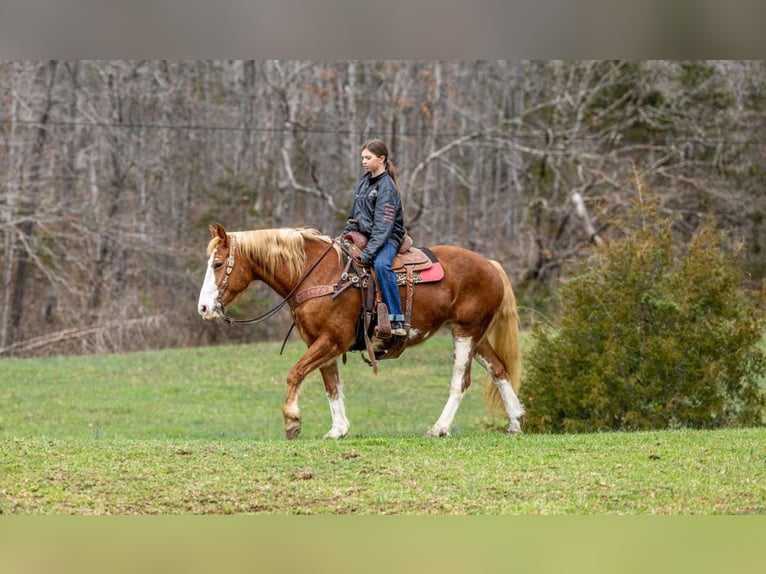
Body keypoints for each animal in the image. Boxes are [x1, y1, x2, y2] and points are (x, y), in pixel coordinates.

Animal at [197, 223, 524, 439]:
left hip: (465, 333)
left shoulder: (333, 340)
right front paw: (338, 429)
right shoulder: (319, 342)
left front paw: (292, 421)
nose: (203, 308)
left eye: (218, 264)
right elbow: (331, 385)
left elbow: (295, 373)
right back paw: (515, 421)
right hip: (475, 335)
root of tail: (491, 265)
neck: (319, 275)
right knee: (499, 369)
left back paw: (440, 428)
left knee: (461, 381)